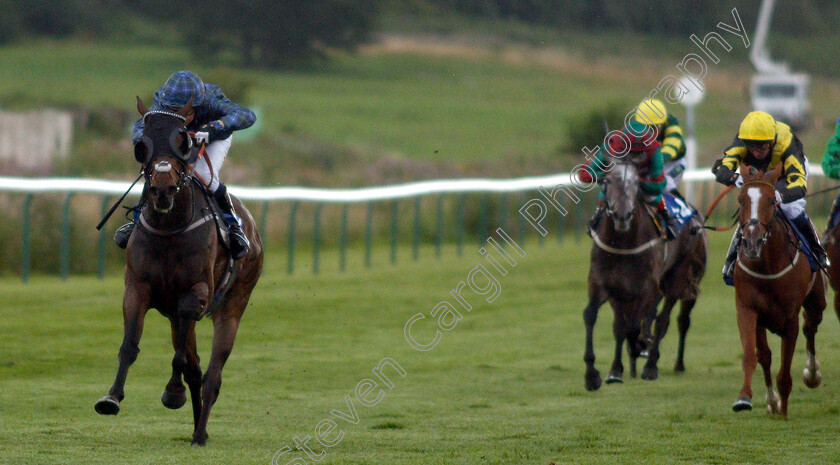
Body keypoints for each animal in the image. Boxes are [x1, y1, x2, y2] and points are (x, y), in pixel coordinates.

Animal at [92, 96, 264, 444]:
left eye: (184, 140)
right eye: (142, 144)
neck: (170, 228)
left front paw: (173, 393)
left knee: (213, 374)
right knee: (197, 370)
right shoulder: (137, 288)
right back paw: (198, 428)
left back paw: (200, 432)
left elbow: (183, 359)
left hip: (233, 306)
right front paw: (111, 397)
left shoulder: (195, 295)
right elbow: (130, 345)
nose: (162, 189)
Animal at [584, 161, 708, 390]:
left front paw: (638, 349)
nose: (622, 216)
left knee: (671, 320)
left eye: (635, 183)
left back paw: (659, 365)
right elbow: (595, 317)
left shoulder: (648, 288)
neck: (622, 243)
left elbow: (635, 326)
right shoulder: (604, 285)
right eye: (608, 181)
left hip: (682, 279)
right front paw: (596, 374)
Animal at [732, 161, 824, 416]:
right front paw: (746, 398)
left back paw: (812, 374)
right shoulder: (748, 309)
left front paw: (783, 411)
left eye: (772, 200)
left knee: (810, 327)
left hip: (817, 301)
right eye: (741, 200)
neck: (767, 265)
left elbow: (785, 370)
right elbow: (754, 355)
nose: (752, 243)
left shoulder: (790, 317)